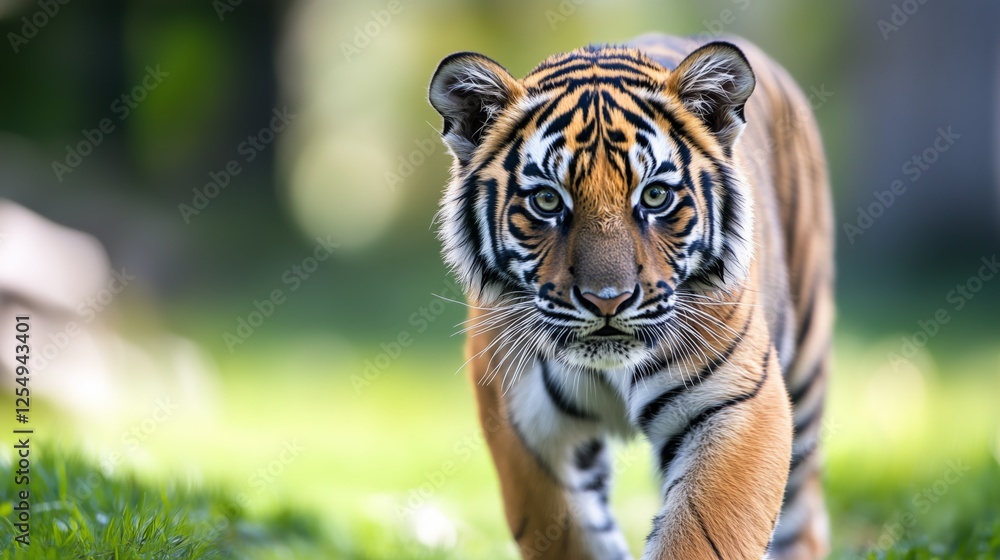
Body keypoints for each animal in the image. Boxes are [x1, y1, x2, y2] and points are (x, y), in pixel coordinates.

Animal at [427, 32, 833, 560]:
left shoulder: (737, 402)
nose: (607, 300)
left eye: (656, 196)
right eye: (547, 201)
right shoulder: (525, 427)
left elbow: (701, 536)